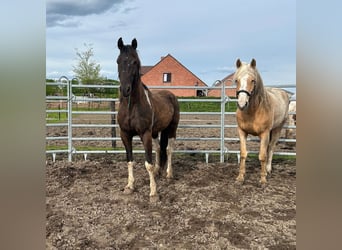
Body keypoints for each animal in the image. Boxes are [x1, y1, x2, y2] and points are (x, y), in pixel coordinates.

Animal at [116, 37, 179, 201]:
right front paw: (129, 186)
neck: (132, 106)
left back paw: (169, 174)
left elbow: (147, 164)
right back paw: (158, 170)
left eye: (135, 62)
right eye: (118, 61)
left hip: (172, 129)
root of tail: (170, 94)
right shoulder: (125, 134)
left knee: (169, 149)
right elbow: (130, 160)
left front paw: (153, 193)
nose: (125, 90)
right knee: (158, 148)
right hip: (156, 131)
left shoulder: (145, 134)